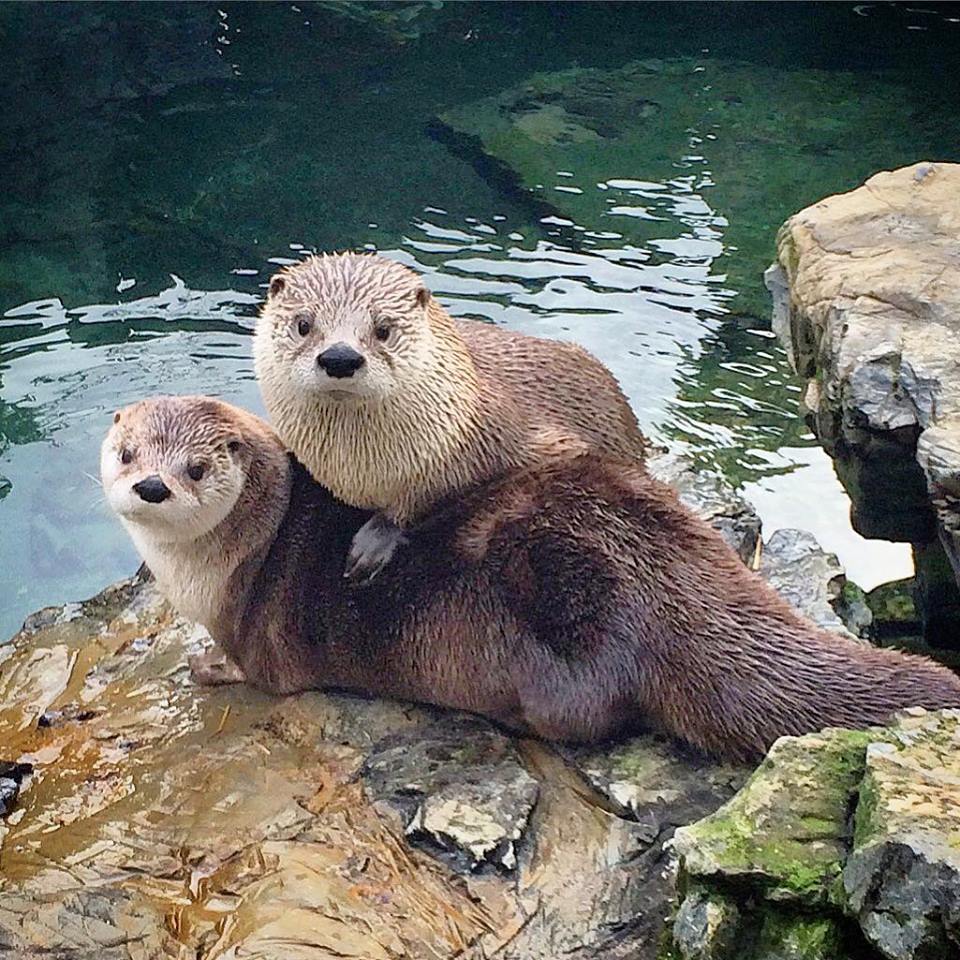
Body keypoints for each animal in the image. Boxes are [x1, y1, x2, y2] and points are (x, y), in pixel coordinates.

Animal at [102, 395, 960, 762]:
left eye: (197, 466)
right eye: (127, 452)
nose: (151, 486)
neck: (233, 563)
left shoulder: (260, 637)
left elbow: (251, 672)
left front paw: (206, 665)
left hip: (559, 595)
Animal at [254, 252, 647, 581]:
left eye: (383, 329)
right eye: (303, 324)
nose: (340, 357)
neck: (355, 470)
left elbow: (441, 493)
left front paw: (377, 538)